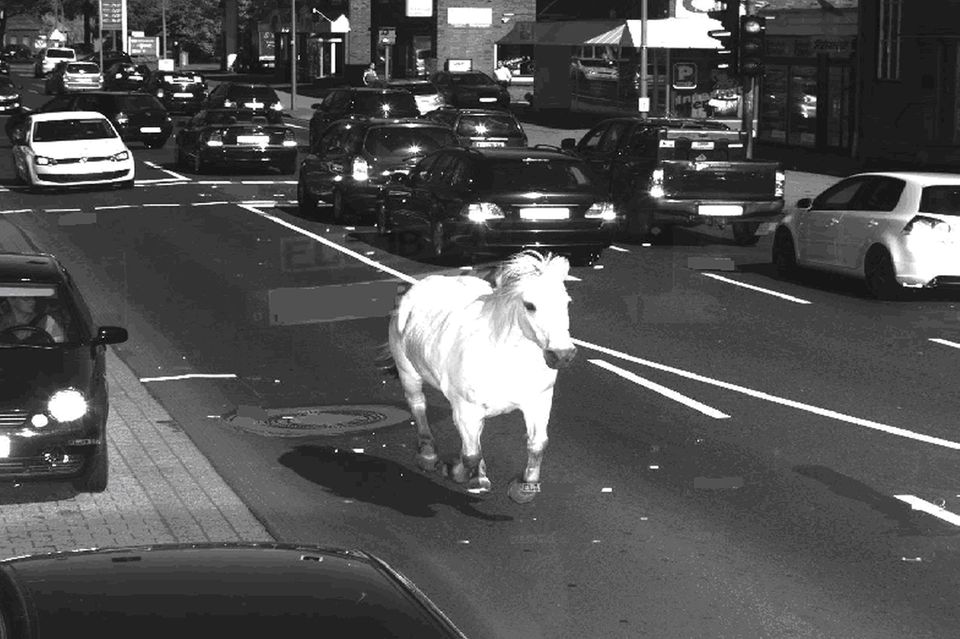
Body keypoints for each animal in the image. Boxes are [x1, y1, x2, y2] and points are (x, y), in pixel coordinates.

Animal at [384, 250, 576, 504]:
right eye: (530, 305)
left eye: (567, 302)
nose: (562, 354)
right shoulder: (466, 408)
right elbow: (470, 456)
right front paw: (456, 472)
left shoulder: (539, 401)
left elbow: (537, 444)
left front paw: (523, 489)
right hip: (408, 372)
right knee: (418, 405)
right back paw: (428, 456)